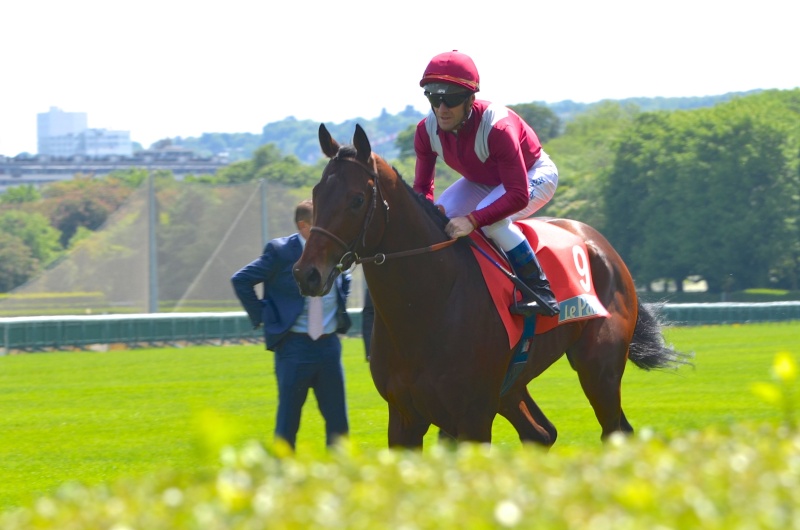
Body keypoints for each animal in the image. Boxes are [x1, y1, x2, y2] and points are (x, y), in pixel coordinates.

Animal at [292, 122, 688, 446]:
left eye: (357, 199)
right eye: (316, 193)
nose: (307, 273)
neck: (427, 305)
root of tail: (599, 242)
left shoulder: (471, 419)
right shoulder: (405, 418)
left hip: (598, 368)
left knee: (614, 431)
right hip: (512, 388)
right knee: (542, 433)